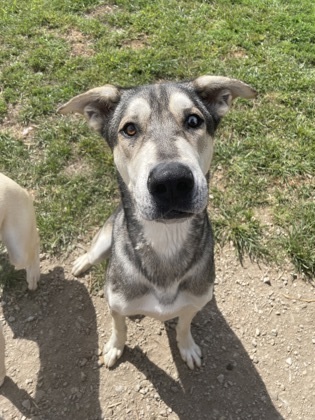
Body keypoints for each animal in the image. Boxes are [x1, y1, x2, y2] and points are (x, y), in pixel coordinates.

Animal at [58, 74, 256, 368]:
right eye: (129, 129)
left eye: (193, 120)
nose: (171, 180)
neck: (165, 239)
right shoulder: (116, 304)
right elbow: (119, 326)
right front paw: (115, 348)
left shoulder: (193, 302)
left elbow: (184, 325)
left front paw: (187, 348)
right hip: (105, 239)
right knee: (94, 253)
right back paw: (83, 262)